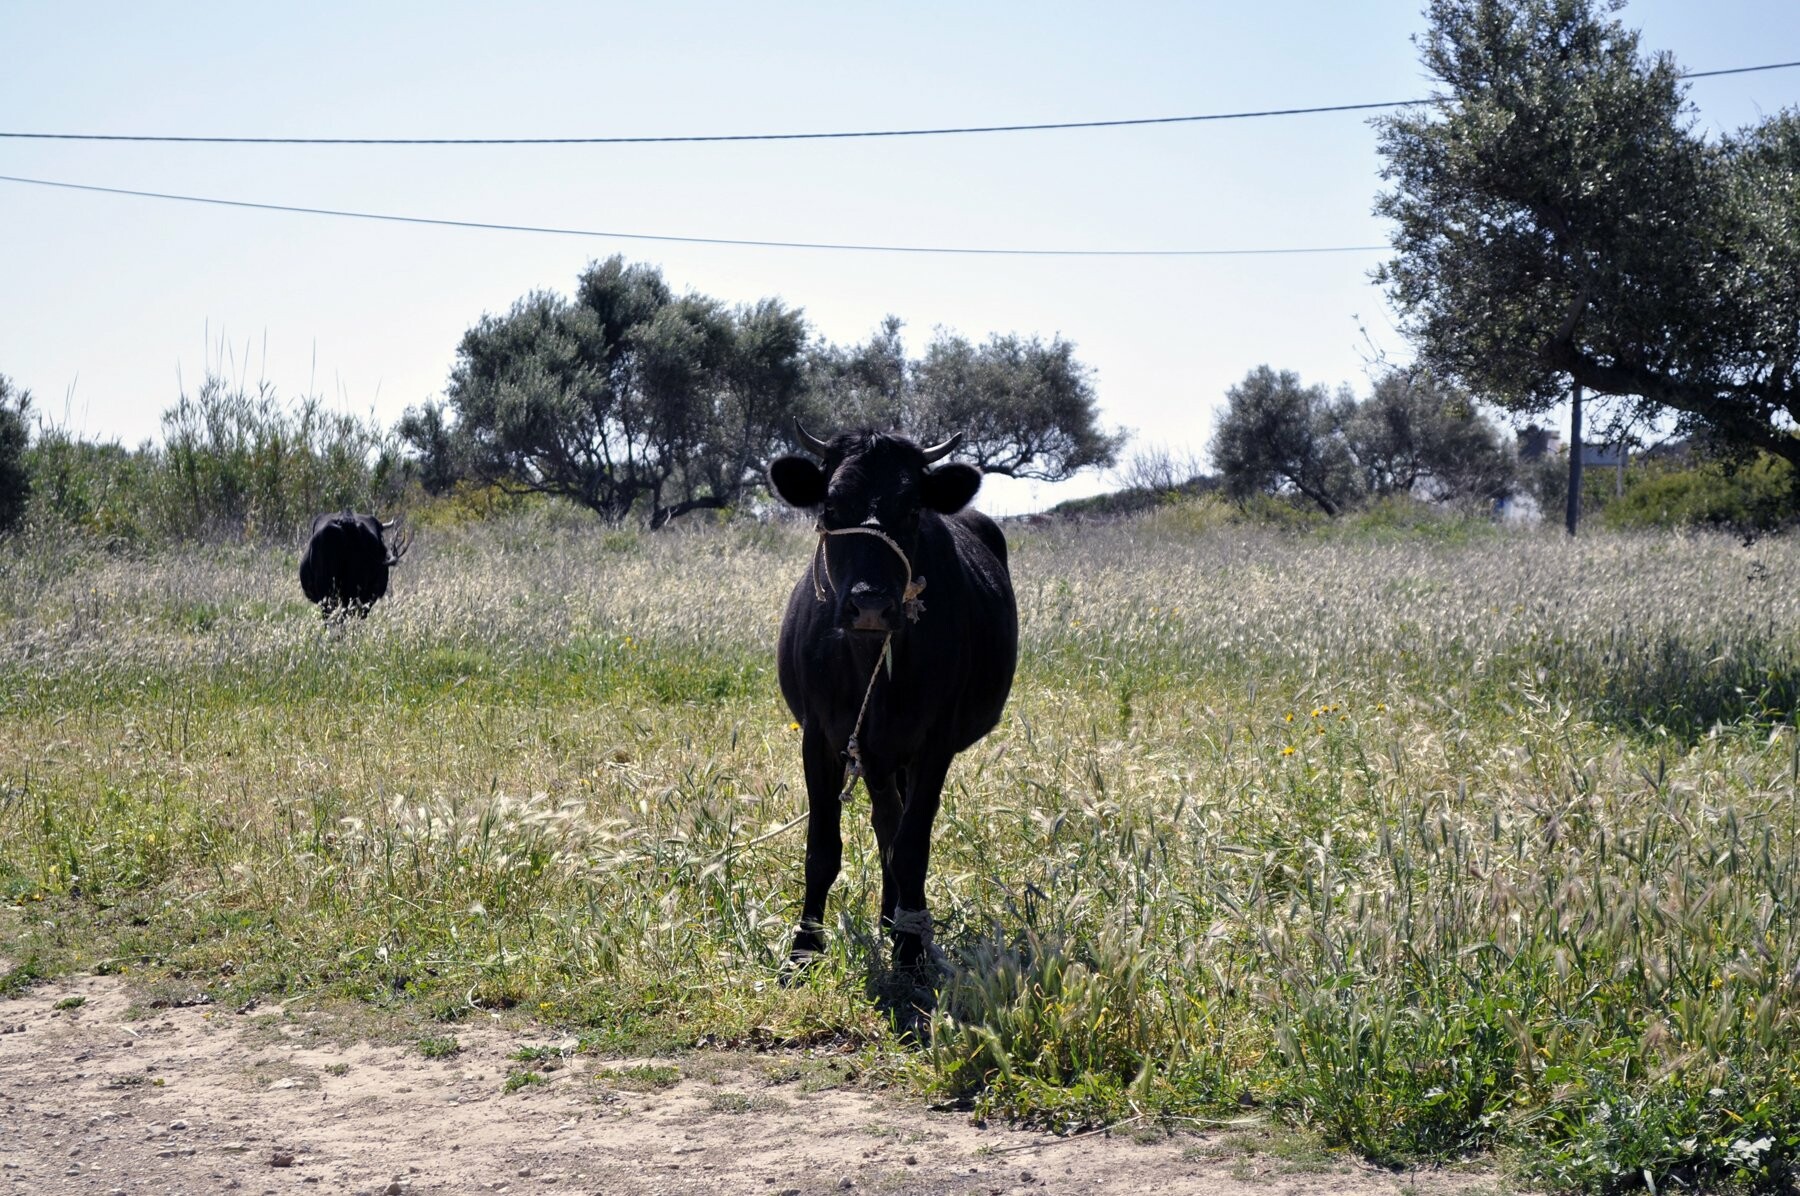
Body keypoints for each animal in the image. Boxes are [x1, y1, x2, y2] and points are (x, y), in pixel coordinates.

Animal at [768, 425, 1018, 974]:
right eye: (831, 506)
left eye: (912, 509)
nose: (870, 604)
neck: (869, 660)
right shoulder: (821, 736)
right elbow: (823, 847)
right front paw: (803, 948)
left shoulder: (935, 742)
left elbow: (911, 845)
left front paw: (910, 949)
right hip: (874, 754)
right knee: (885, 818)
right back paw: (888, 915)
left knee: (895, 826)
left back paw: (899, 919)